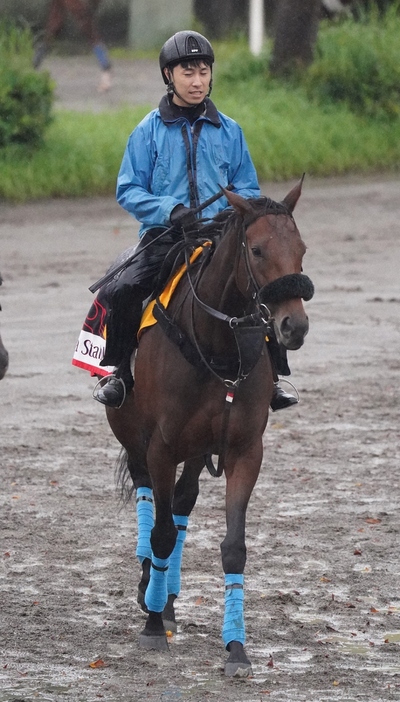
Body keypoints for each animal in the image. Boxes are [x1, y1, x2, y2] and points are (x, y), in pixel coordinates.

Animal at [105, 179, 312, 680]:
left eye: (301, 250)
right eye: (256, 250)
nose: (293, 326)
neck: (216, 348)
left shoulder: (244, 450)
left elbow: (233, 546)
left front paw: (236, 648)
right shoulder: (160, 447)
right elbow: (160, 532)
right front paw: (152, 626)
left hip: (197, 449)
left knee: (182, 502)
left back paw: (166, 596)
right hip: (134, 438)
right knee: (149, 501)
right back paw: (150, 587)